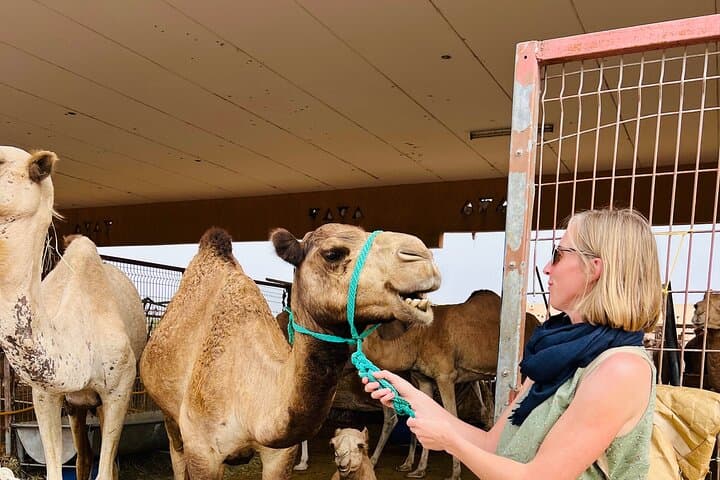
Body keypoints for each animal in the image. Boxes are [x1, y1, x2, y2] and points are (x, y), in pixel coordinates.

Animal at [0, 146, 147, 480]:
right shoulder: (45, 393)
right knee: (82, 456)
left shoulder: (120, 389)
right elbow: (55, 469)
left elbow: (106, 471)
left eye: (0, 161)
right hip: (76, 406)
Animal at [139, 224, 441, 479]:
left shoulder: (280, 455)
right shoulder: (203, 452)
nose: (422, 256)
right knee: (176, 455)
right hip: (171, 420)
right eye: (332, 254)